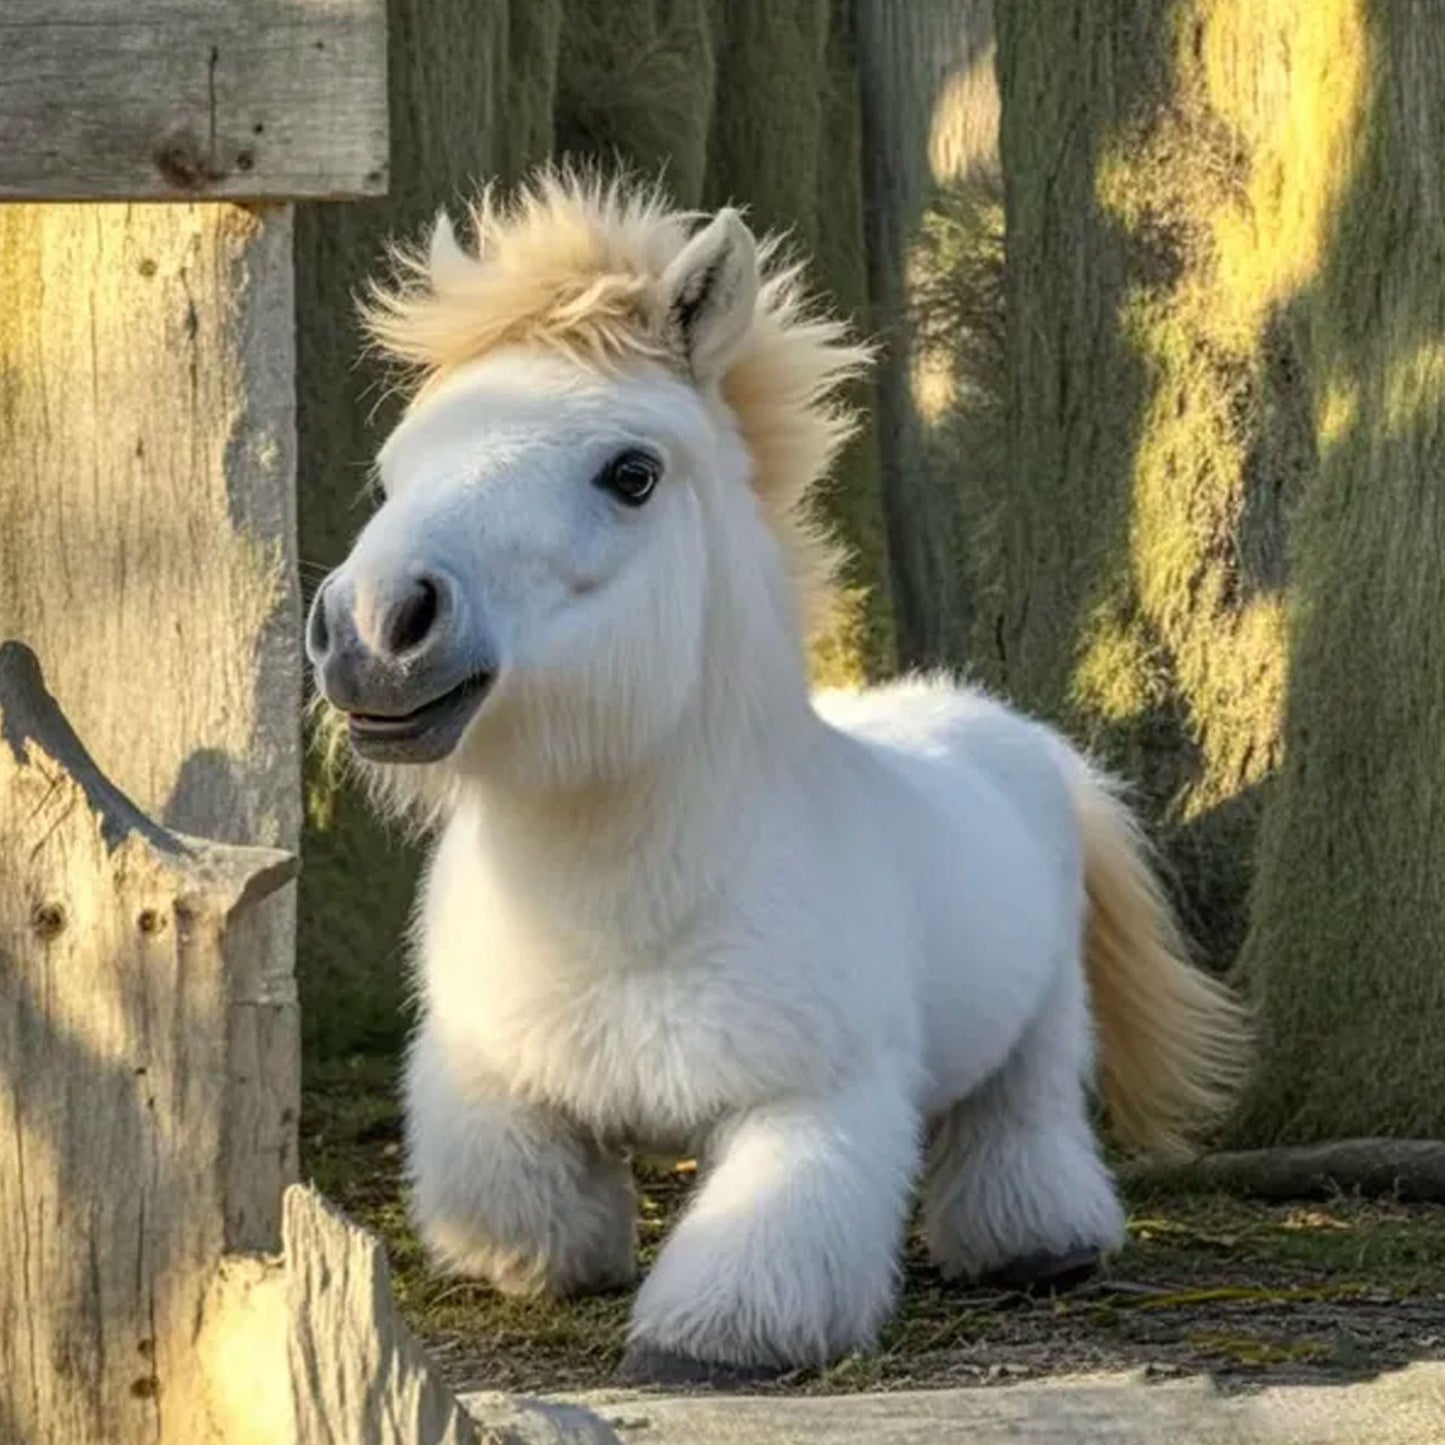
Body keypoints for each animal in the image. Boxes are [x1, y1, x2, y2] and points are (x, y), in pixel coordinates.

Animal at [306, 172, 1251, 1383]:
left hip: (1040, 1032)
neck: (630, 917)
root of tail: (1006, 733)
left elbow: (760, 1256)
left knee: (1019, 1121)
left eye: (631, 474)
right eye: (393, 470)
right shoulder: (489, 1079)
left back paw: (1037, 1245)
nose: (375, 628)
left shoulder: (811, 1101)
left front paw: (706, 1345)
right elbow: (518, 1199)